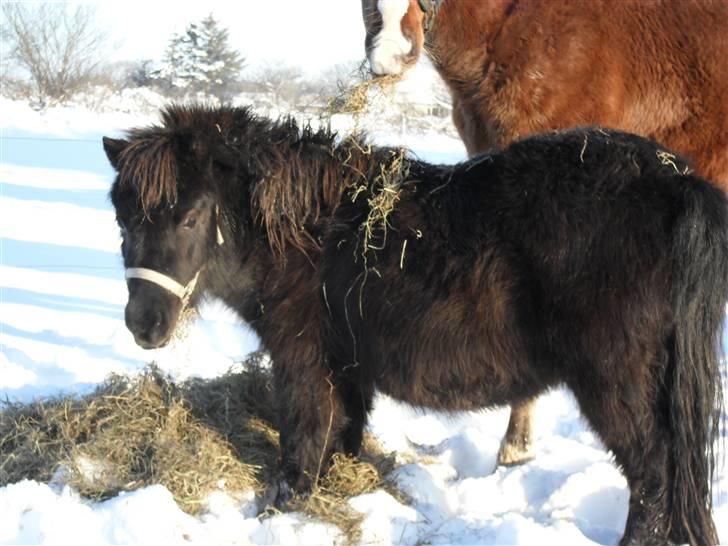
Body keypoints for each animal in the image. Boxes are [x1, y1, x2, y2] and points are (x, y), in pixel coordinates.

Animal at [104, 104, 728, 540]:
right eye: (122, 218)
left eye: (188, 218)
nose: (144, 325)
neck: (308, 233)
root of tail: (677, 181)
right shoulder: (347, 371)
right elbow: (342, 438)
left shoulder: (304, 364)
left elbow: (300, 447)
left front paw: (281, 513)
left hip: (617, 384)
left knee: (654, 479)